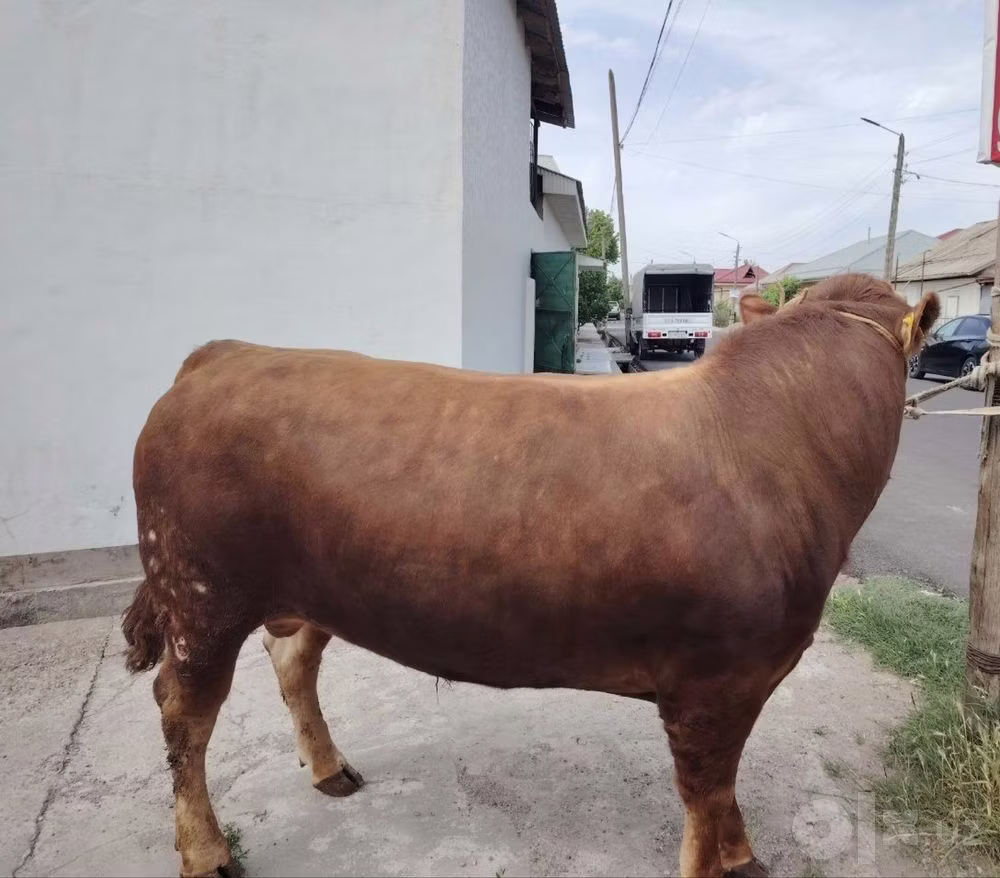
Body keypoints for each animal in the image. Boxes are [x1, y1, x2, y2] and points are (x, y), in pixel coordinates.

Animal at [122, 273, 938, 878]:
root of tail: (225, 355)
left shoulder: (747, 676)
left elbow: (725, 791)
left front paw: (744, 855)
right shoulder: (711, 683)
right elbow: (707, 794)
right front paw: (726, 857)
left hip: (310, 590)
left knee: (292, 658)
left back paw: (328, 769)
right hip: (199, 592)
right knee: (183, 712)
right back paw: (206, 852)